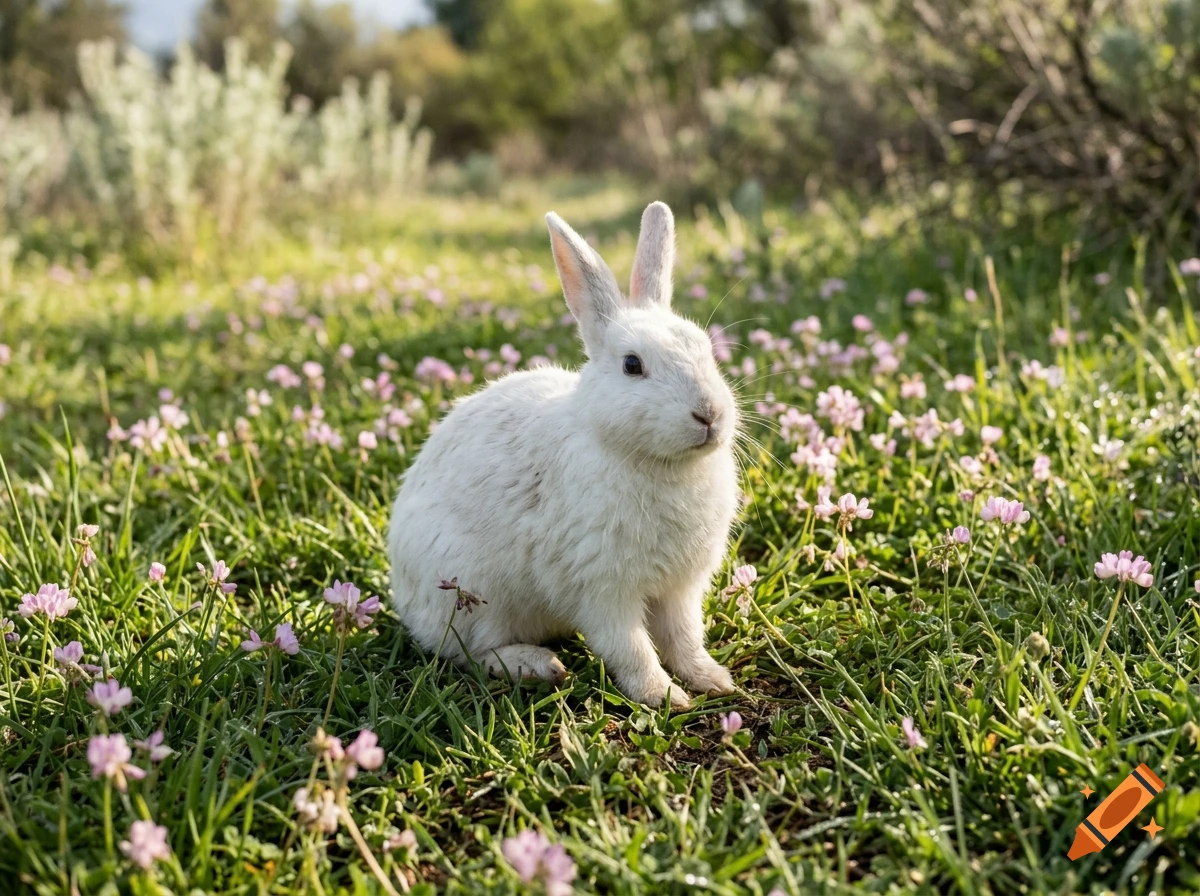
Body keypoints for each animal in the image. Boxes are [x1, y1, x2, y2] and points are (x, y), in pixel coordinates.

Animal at [388, 201, 740, 708]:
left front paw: (712, 679)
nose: (709, 414)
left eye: (705, 349)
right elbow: (630, 647)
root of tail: (404, 597)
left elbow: (685, 637)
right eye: (632, 365)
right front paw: (663, 696)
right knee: (469, 651)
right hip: (469, 593)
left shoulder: (680, 589)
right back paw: (537, 666)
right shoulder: (602, 588)